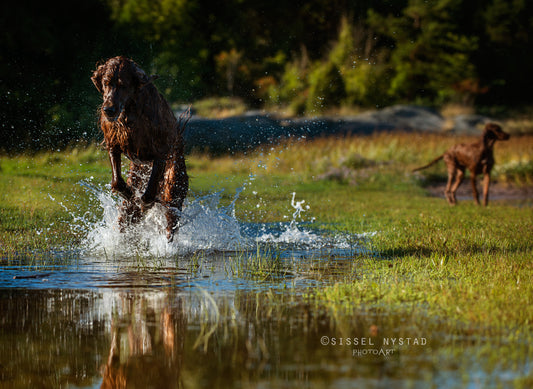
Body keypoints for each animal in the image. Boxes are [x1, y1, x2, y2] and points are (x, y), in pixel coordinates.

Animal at [91, 55, 189, 239]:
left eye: (123, 85)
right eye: (106, 82)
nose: (108, 110)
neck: (129, 110)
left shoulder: (161, 149)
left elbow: (150, 190)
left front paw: (144, 202)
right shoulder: (113, 141)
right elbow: (117, 181)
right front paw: (129, 193)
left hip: (174, 178)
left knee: (171, 209)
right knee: (126, 219)